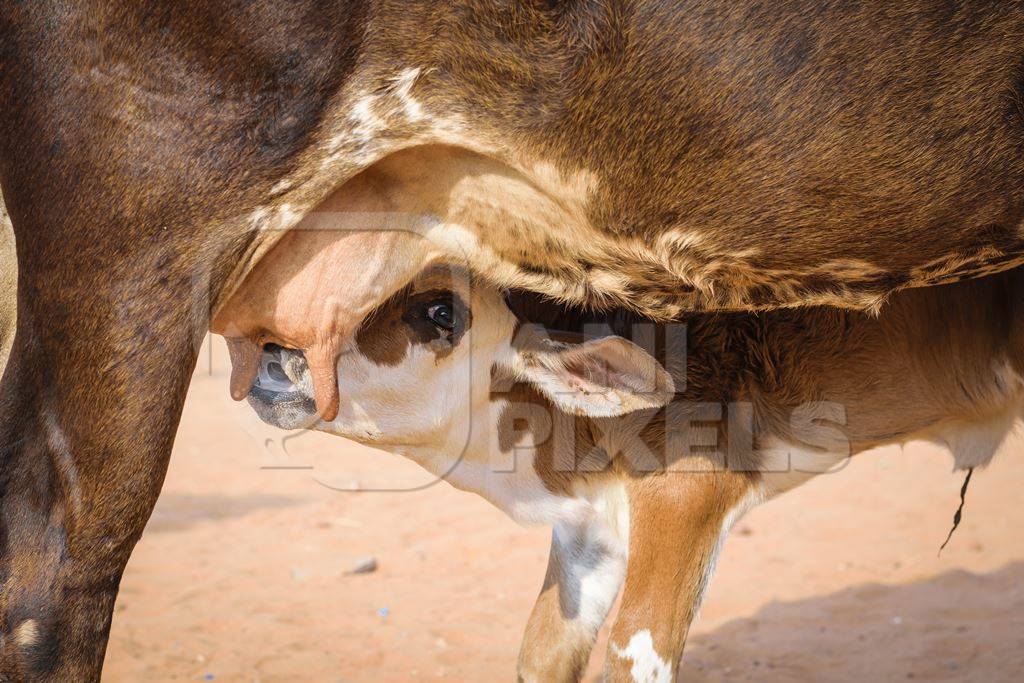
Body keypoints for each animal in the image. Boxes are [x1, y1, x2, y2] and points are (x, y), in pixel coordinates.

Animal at [226, 253, 1024, 679]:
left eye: (440, 312)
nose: (277, 357)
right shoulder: (588, 530)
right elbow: (544, 652)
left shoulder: (689, 492)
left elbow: (635, 653)